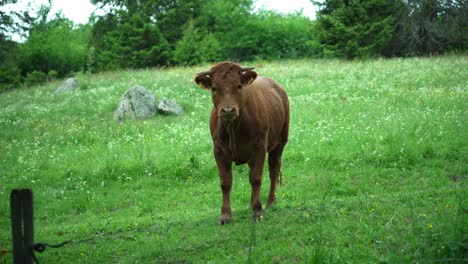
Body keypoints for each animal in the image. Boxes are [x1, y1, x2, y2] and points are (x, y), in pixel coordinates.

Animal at [195, 60, 288, 224]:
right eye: (214, 88)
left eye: (238, 86)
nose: (228, 110)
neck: (233, 128)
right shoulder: (218, 150)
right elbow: (225, 183)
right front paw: (225, 215)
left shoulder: (259, 147)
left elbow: (256, 178)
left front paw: (257, 212)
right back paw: (251, 204)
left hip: (280, 142)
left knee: (274, 170)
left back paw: (270, 202)